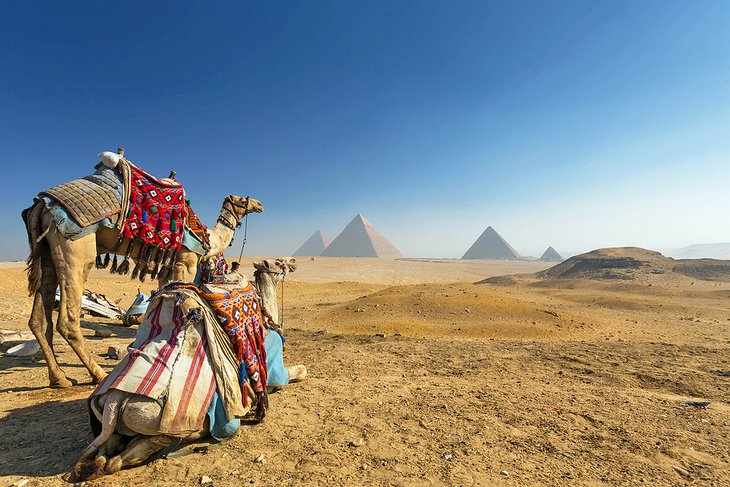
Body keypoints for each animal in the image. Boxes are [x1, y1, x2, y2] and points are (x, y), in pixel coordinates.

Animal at [23, 164, 264, 388]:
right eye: (243, 199)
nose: (260, 204)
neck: (208, 238)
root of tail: (40, 206)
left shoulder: (168, 269)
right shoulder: (186, 262)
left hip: (47, 253)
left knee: (39, 319)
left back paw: (59, 378)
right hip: (74, 247)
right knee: (67, 320)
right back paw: (98, 374)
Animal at [72, 260, 304, 480]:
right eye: (279, 263)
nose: (292, 264)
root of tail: (114, 399)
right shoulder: (273, 372)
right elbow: (299, 372)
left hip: (113, 420)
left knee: (107, 449)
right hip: (163, 422)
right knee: (127, 455)